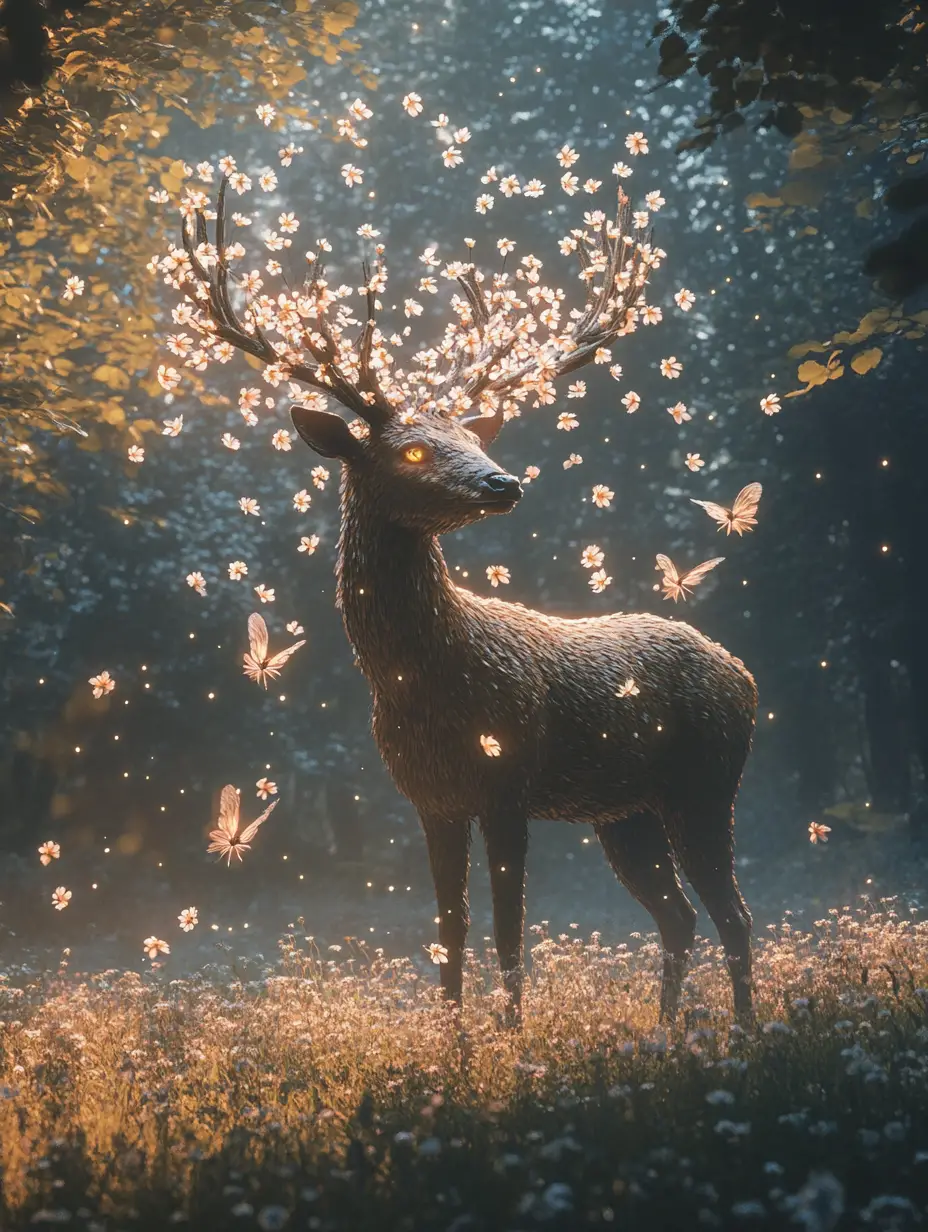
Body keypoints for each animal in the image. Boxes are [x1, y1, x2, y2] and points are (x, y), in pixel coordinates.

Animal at [179, 175, 757, 1025]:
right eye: (416, 448)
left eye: (473, 438)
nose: (502, 481)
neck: (423, 680)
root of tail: (744, 676)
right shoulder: (431, 798)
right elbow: (448, 930)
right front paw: (455, 1037)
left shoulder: (508, 783)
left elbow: (509, 927)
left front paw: (511, 1035)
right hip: (625, 812)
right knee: (680, 916)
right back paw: (665, 1034)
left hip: (707, 781)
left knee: (734, 913)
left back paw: (745, 1031)